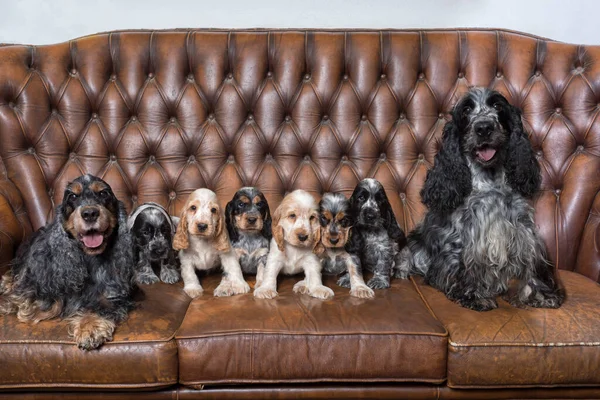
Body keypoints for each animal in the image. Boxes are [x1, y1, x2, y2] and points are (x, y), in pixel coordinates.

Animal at [0, 173, 135, 348]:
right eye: (73, 196)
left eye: (103, 193)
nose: (90, 213)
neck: (89, 258)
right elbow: (49, 298)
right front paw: (22, 306)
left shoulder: (114, 294)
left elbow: (100, 305)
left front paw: (89, 328)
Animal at [396, 88, 564, 312]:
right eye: (466, 110)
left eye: (497, 106)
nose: (484, 128)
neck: (490, 182)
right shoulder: (462, 240)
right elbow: (464, 266)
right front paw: (473, 295)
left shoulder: (523, 232)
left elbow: (532, 264)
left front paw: (541, 294)